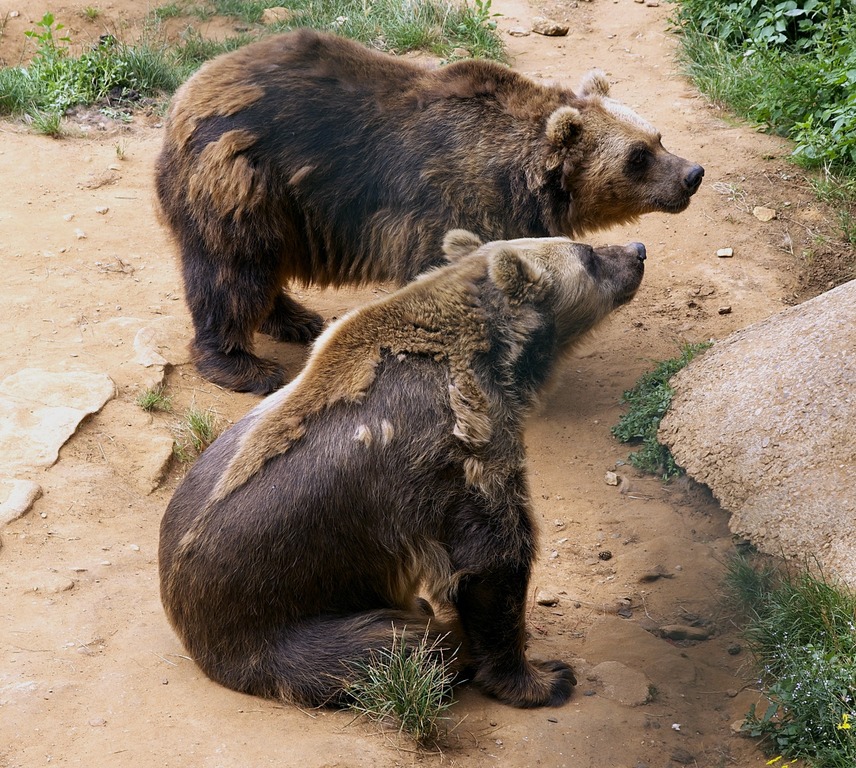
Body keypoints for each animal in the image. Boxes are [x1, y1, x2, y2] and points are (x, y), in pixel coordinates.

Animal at [154, 29, 702, 395]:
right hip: (244, 181)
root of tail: (186, 93)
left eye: (657, 136)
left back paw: (298, 319)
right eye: (638, 157)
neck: (519, 175)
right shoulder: (448, 201)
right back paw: (246, 366)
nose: (692, 173)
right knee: (233, 271)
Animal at [158, 229, 647, 709]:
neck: (491, 360)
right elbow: (492, 559)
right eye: (588, 254)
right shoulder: (459, 447)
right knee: (408, 647)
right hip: (279, 623)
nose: (638, 251)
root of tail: (186, 625)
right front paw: (545, 678)